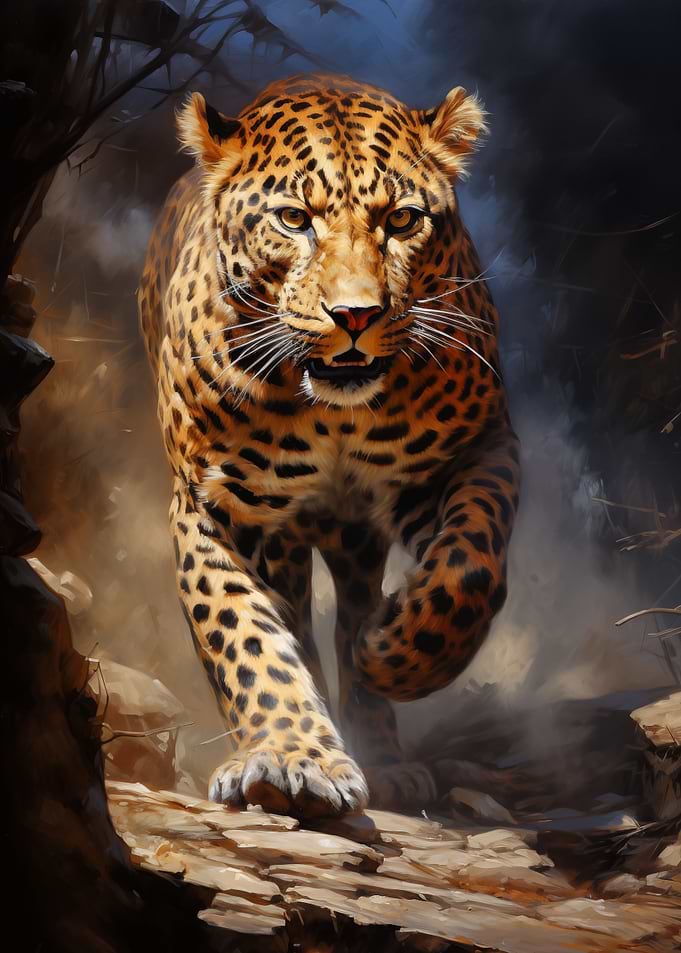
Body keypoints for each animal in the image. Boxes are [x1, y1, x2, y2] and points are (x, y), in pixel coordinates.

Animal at [138, 73, 520, 818]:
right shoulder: (211, 505)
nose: (355, 315)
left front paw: (397, 655)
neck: (333, 414)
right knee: (297, 625)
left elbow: (469, 567)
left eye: (401, 220)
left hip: (355, 536)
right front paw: (293, 757)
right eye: (293, 219)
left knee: (352, 609)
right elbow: (243, 634)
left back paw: (384, 731)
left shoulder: (478, 449)